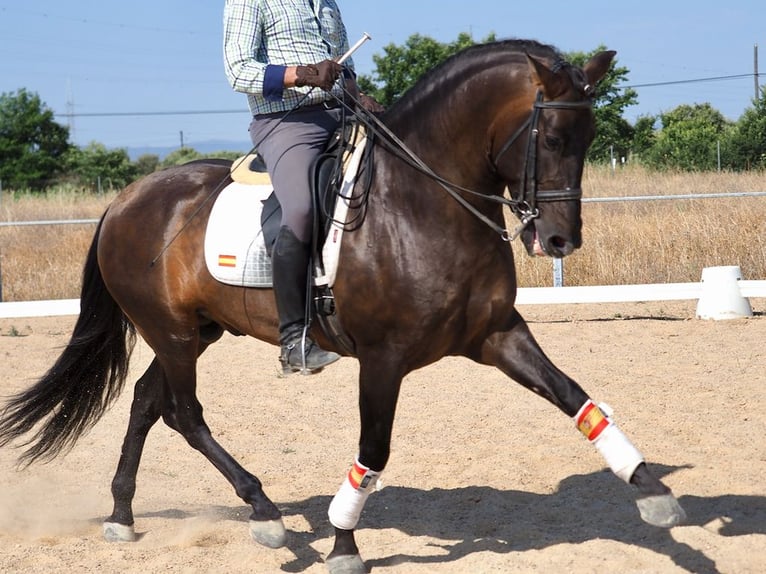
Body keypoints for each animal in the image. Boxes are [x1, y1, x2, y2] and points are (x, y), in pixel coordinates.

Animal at [0, 38, 688, 572]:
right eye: (551, 136)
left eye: (590, 135)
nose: (561, 241)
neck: (422, 203)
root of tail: (125, 198)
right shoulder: (383, 360)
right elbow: (373, 452)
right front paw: (344, 544)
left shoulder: (497, 334)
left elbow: (577, 399)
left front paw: (652, 492)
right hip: (169, 332)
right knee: (183, 413)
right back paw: (265, 512)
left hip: (198, 330)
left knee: (148, 400)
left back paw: (121, 514)